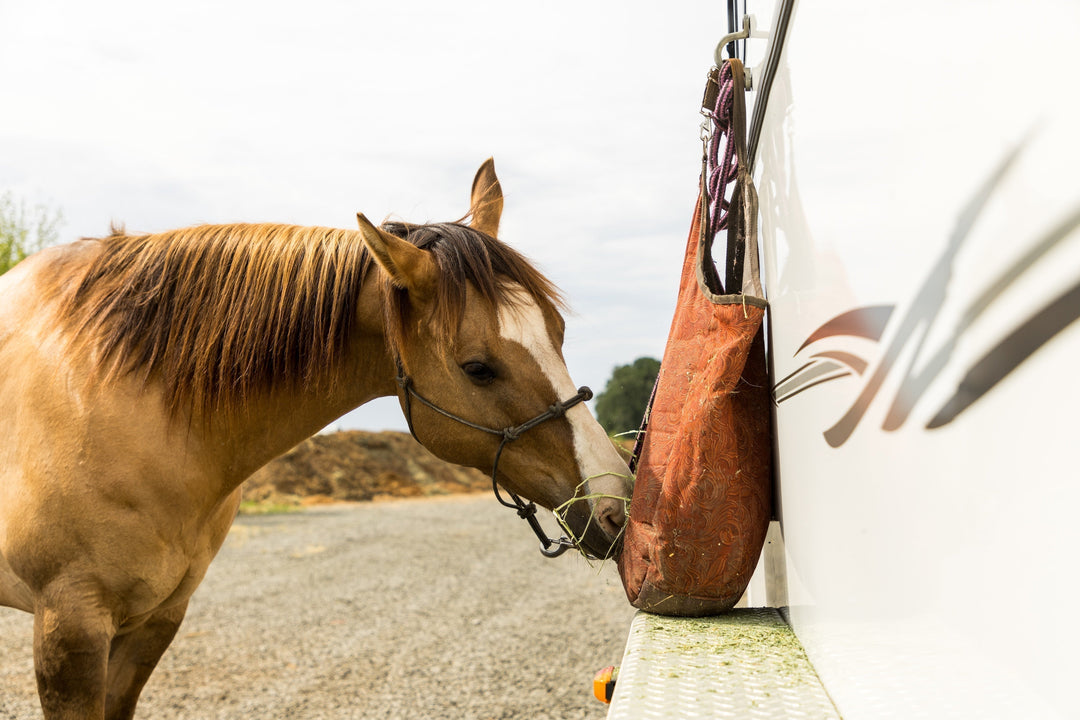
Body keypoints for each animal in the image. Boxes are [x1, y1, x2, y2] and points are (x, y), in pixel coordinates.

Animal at [0, 159, 633, 719]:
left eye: (558, 332)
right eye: (478, 368)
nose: (618, 508)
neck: (110, 397)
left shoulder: (155, 621)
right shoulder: (70, 631)